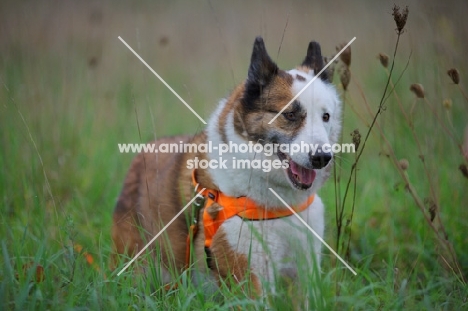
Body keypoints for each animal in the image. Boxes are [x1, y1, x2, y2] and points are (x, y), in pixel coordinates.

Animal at [111, 37, 342, 296]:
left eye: (325, 116)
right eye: (290, 115)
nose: (322, 157)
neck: (276, 202)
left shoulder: (305, 271)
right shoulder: (248, 273)